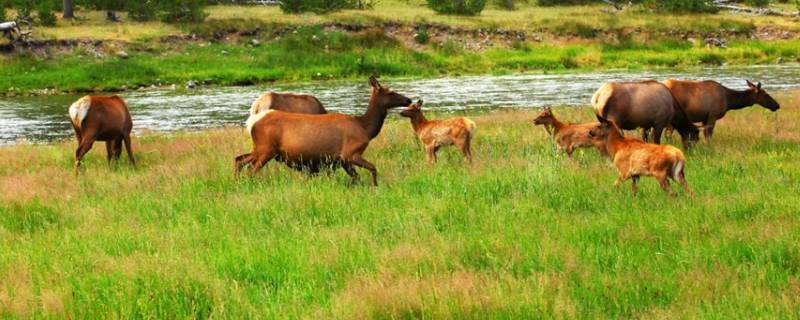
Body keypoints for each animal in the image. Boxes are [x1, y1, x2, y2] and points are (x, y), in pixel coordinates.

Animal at [234, 76, 412, 186]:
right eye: (390, 91)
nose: (408, 99)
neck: (365, 127)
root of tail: (252, 120)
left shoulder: (341, 160)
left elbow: (356, 177)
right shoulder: (350, 153)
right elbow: (372, 168)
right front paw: (375, 186)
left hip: (261, 148)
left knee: (239, 159)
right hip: (266, 149)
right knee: (250, 169)